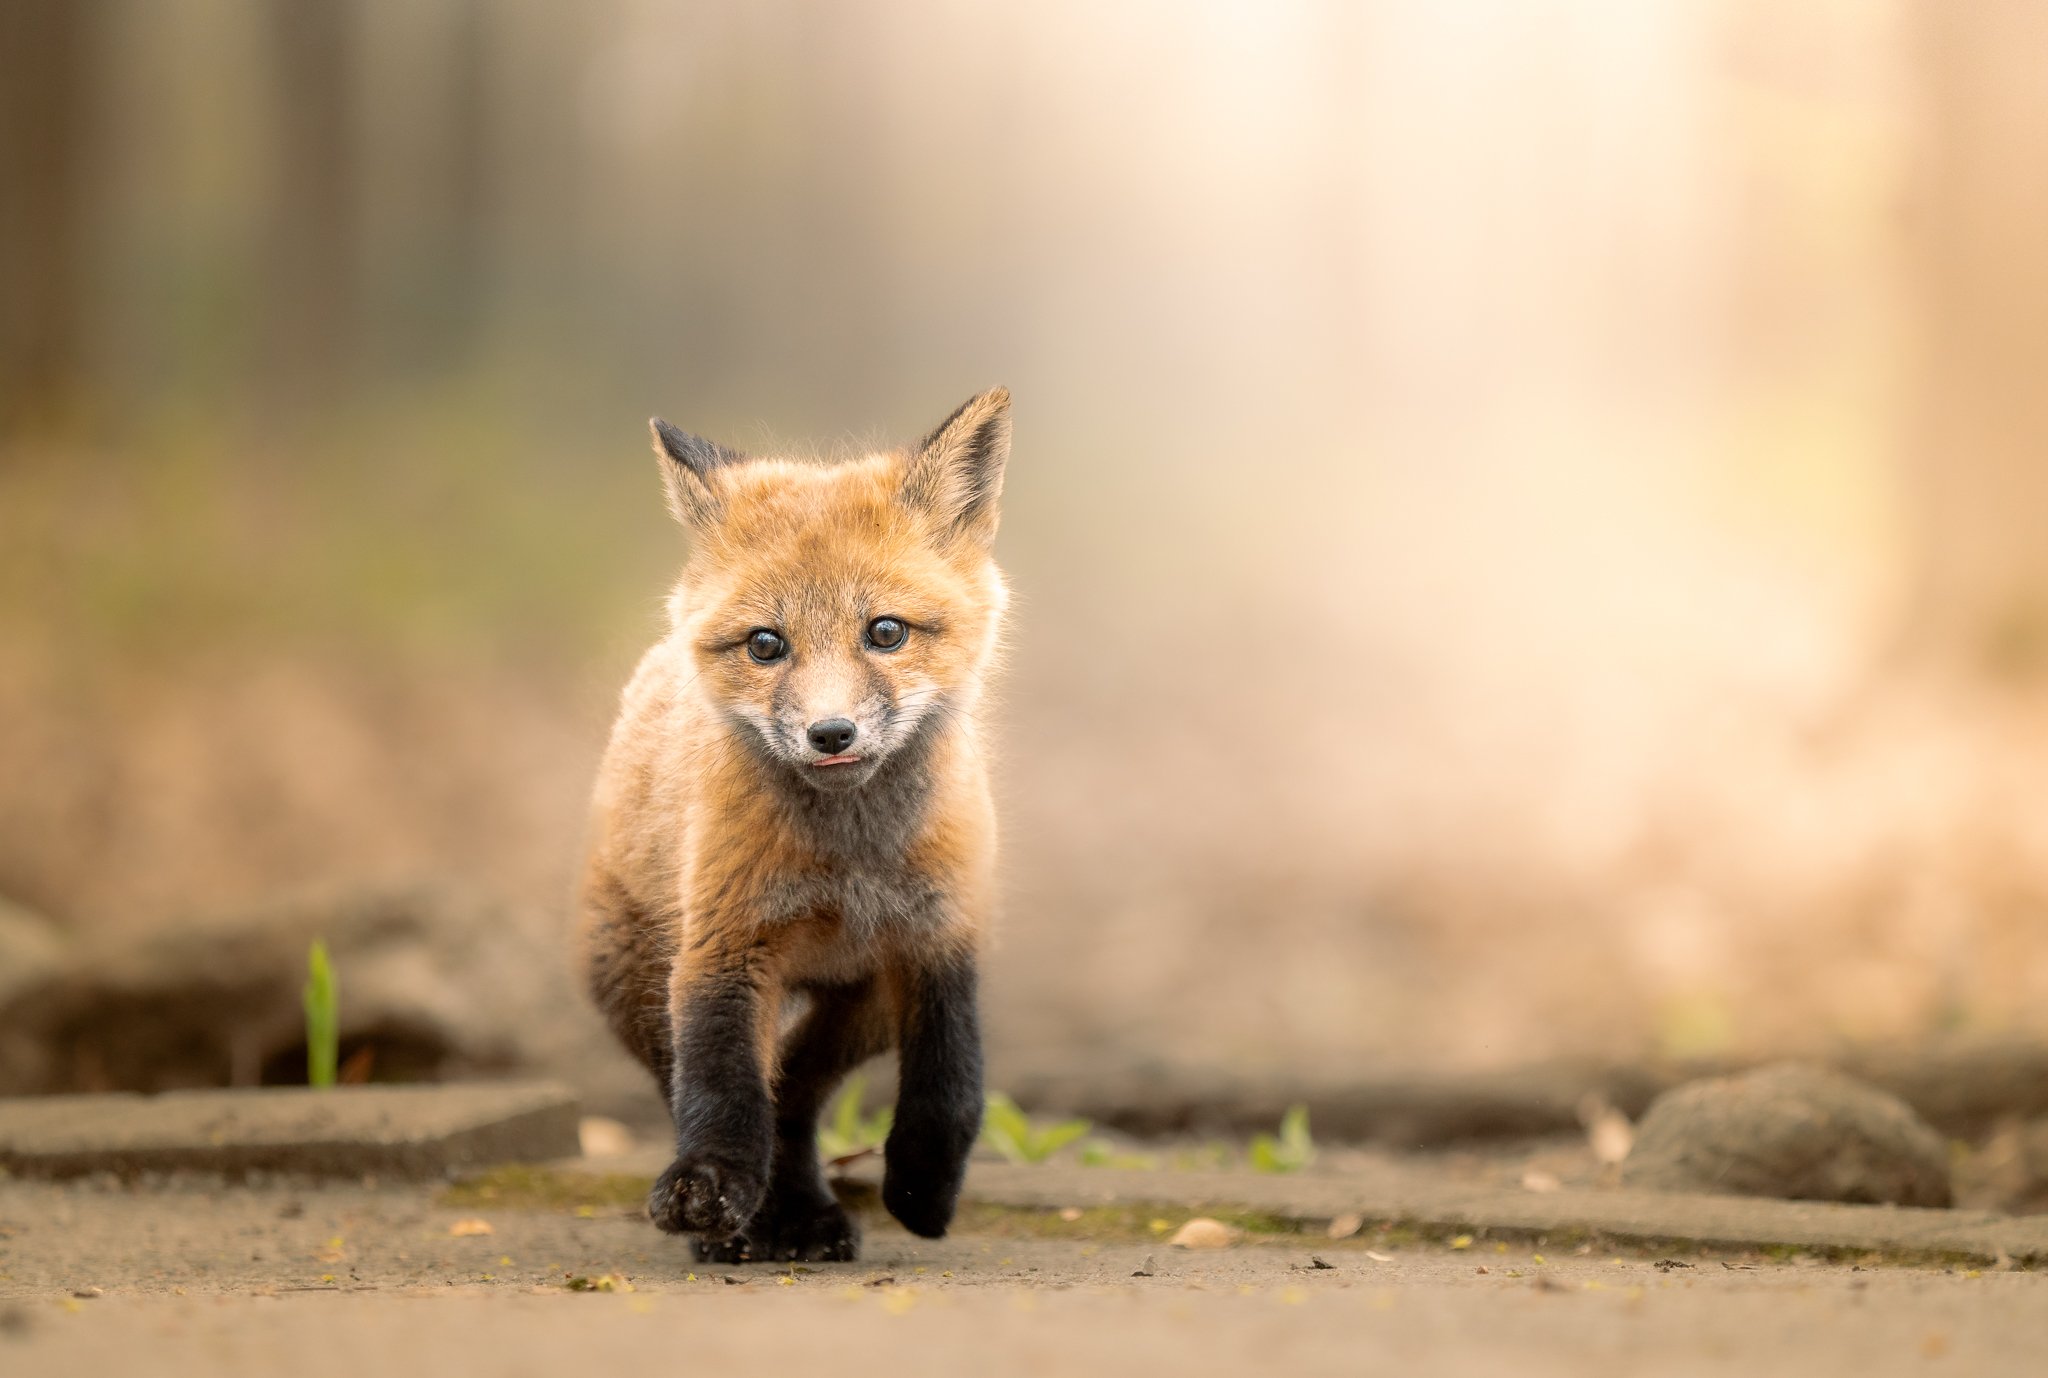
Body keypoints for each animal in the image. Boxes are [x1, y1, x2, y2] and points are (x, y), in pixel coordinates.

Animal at [576, 388, 1012, 1263]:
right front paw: (711, 1189)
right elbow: (721, 1086)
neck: (849, 864)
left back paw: (803, 1210)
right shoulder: (724, 942)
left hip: (865, 1006)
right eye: (766, 644)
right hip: (635, 976)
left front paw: (923, 1190)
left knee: (797, 1090)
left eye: (886, 631)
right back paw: (763, 1222)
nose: (831, 733)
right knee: (733, 1083)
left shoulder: (941, 934)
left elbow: (953, 1080)